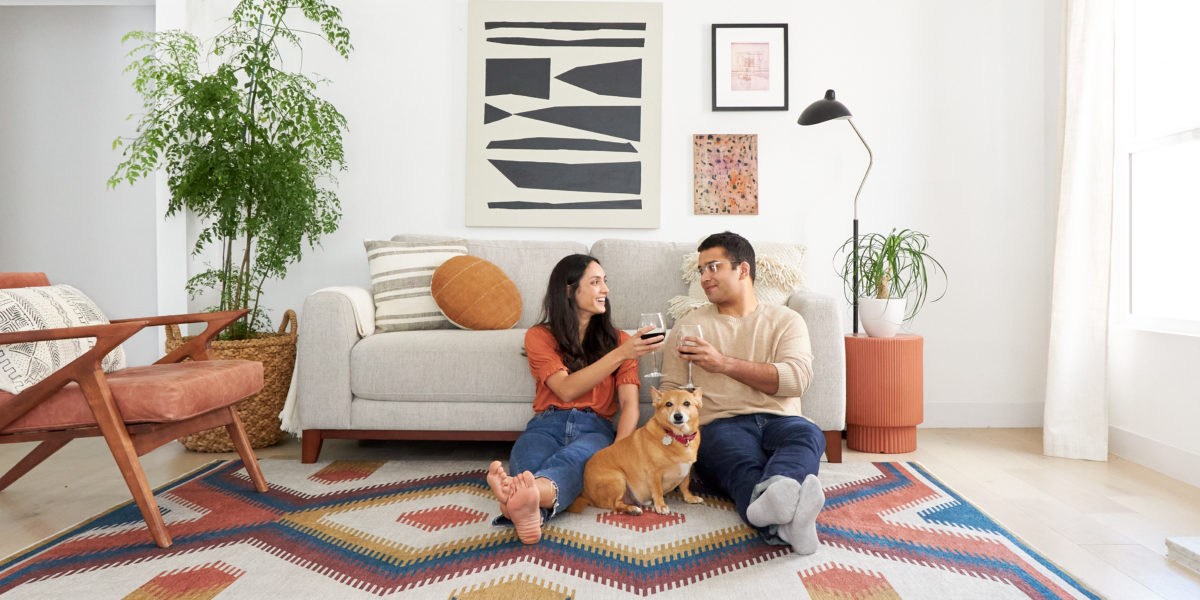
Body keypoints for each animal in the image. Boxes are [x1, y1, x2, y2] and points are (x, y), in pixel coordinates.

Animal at [568, 388, 700, 516]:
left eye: (687, 403)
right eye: (668, 404)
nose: (678, 416)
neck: (679, 437)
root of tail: (584, 493)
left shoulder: (686, 471)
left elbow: (685, 486)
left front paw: (690, 498)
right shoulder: (654, 473)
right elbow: (658, 491)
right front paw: (661, 506)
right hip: (618, 479)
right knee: (615, 504)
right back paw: (633, 510)